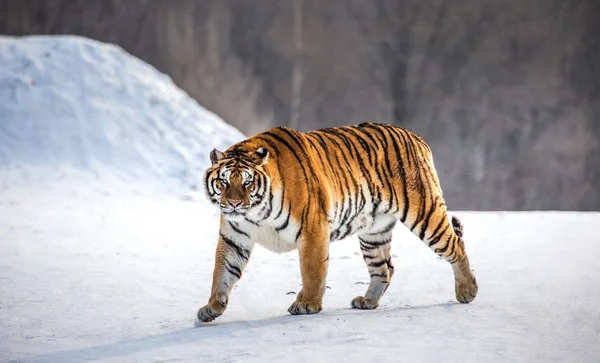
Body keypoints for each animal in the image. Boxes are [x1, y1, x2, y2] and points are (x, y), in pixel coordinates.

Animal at [197, 123, 478, 324]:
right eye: (223, 181)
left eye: (247, 182)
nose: (233, 203)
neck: (255, 213)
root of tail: (416, 138)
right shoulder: (234, 238)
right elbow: (222, 272)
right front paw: (211, 307)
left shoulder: (312, 229)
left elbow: (312, 271)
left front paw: (307, 304)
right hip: (373, 232)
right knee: (384, 269)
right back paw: (367, 301)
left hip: (424, 212)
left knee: (455, 244)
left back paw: (467, 290)